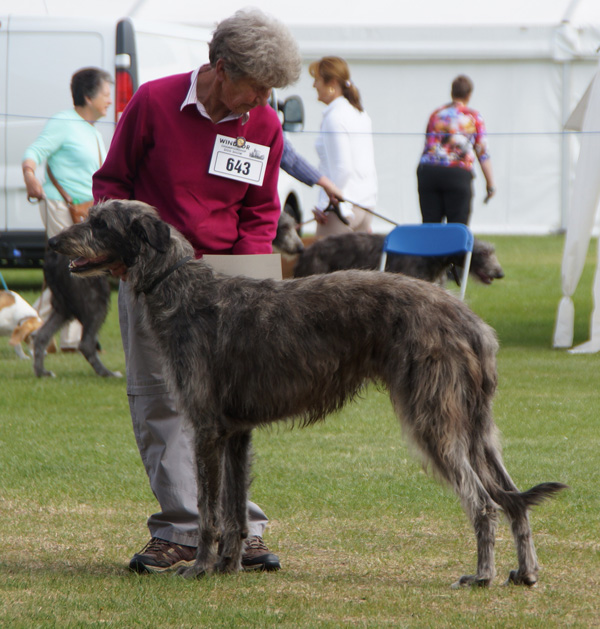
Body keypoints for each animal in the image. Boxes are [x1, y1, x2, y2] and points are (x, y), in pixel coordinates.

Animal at [33, 249, 122, 378]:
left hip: (64, 308)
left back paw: (42, 372)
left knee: (41, 335)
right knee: (86, 344)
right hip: (95, 299)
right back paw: (106, 373)